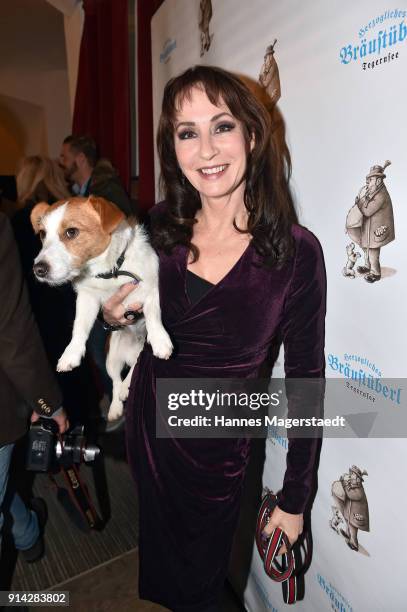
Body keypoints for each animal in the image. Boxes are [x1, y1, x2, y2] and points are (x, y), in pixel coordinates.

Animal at [30, 196, 174, 420]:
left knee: (136, 366)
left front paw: (159, 339)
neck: (110, 271)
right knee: (116, 380)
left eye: (71, 232)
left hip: (136, 351)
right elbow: (79, 327)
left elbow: (153, 316)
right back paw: (116, 404)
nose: (38, 269)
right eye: (43, 234)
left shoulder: (152, 289)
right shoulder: (87, 298)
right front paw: (71, 353)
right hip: (111, 357)